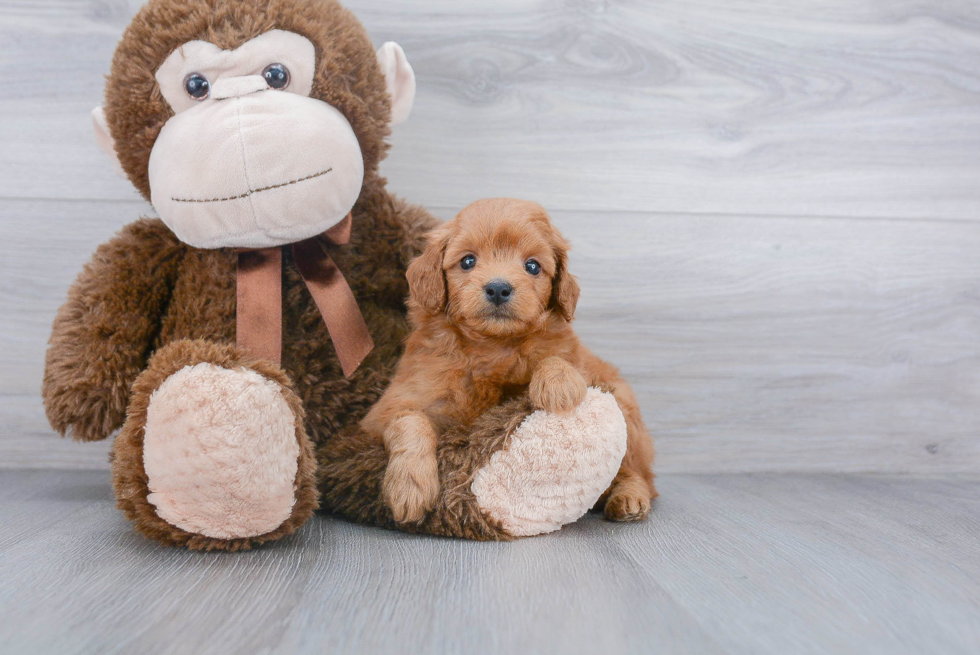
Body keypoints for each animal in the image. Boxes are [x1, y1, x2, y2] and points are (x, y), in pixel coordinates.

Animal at [362, 197, 660, 524]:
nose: (498, 288)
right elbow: (411, 422)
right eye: (467, 261)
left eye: (532, 266)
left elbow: (555, 357)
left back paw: (629, 498)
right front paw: (410, 487)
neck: (493, 346)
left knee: (639, 474)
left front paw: (559, 385)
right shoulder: (388, 408)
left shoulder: (574, 359)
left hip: (627, 415)